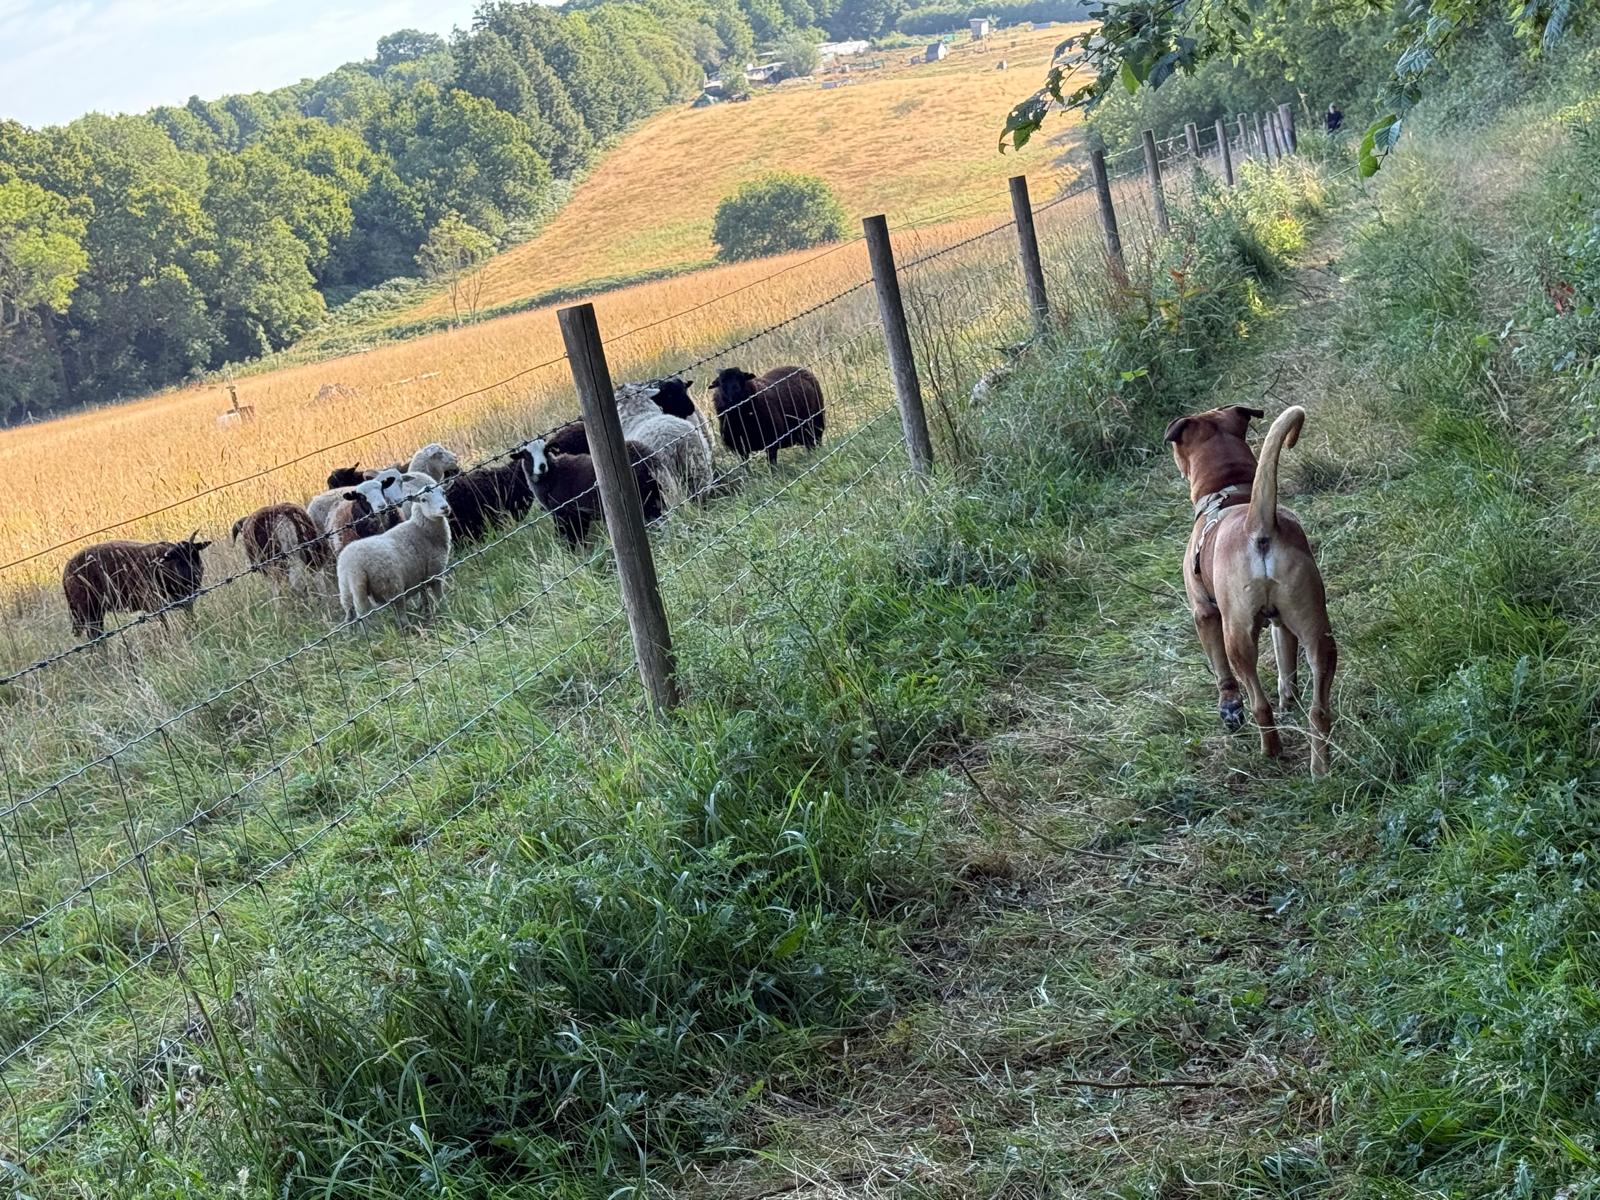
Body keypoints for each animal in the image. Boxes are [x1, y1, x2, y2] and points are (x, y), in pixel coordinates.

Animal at [62, 533, 211, 640]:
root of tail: (66, 573)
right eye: (176, 558)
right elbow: (165, 624)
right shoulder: (154, 603)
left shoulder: (186, 601)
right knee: (95, 637)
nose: (192, 573)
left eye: (194, 554)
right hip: (90, 610)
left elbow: (190, 617)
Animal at [337, 485, 453, 624]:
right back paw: (408, 627)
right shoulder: (435, 573)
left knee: (351, 615)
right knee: (399, 615)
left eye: (443, 492)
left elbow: (424, 597)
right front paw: (447, 611)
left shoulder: (421, 577)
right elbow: (439, 597)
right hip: (392, 587)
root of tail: (352, 568)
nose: (445, 508)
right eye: (423, 499)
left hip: (346, 591)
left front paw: (427, 614)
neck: (422, 530)